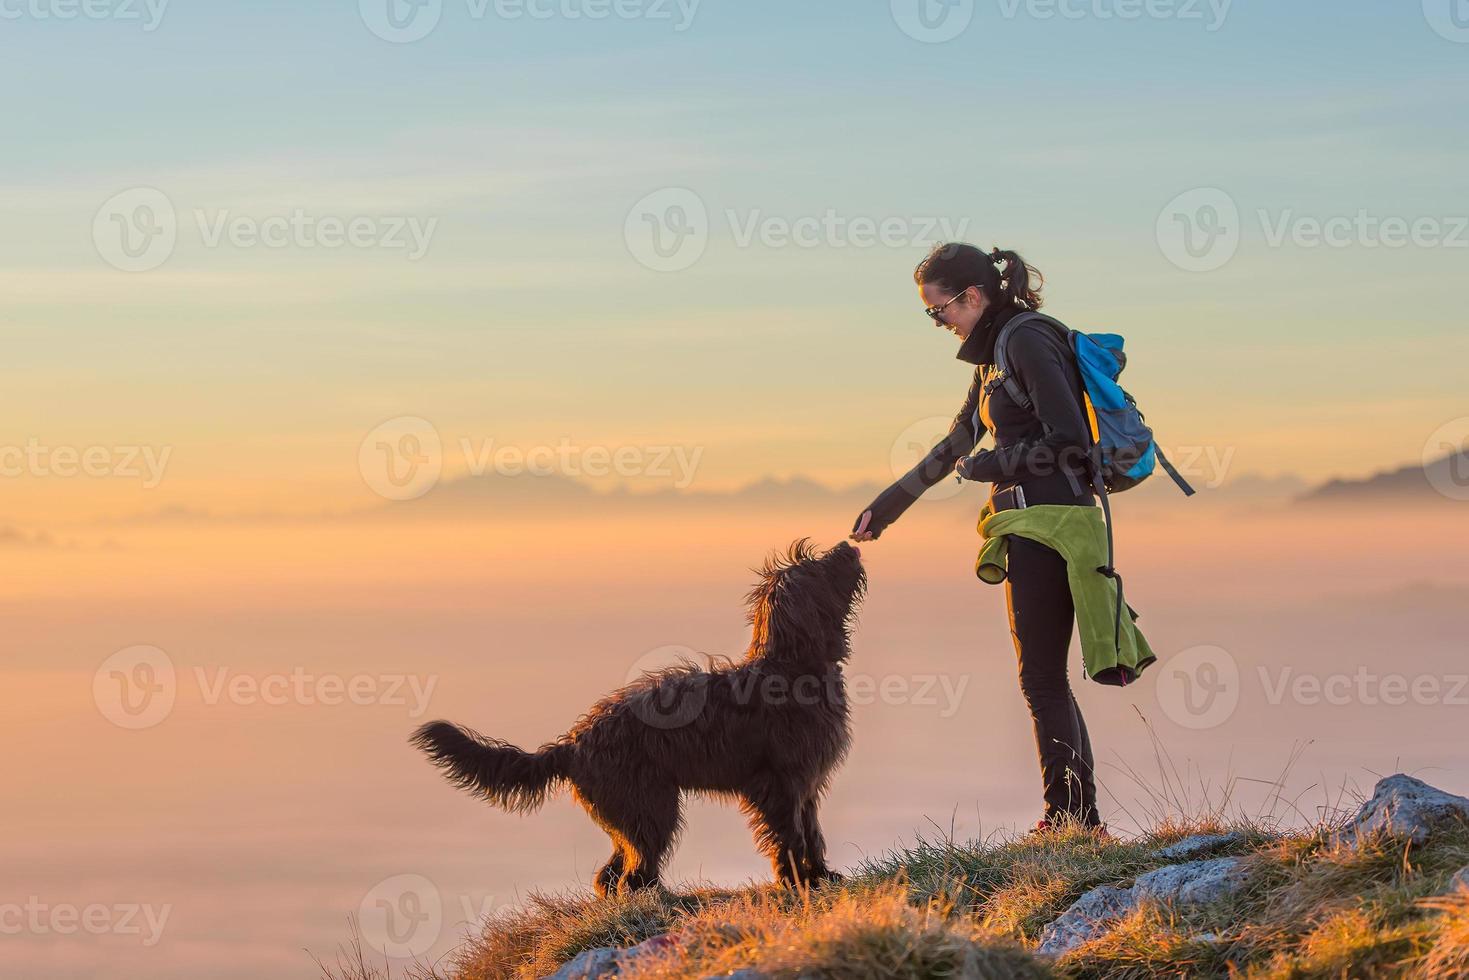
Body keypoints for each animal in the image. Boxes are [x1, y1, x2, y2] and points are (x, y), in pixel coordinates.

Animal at [408, 540, 863, 899]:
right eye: (817, 565)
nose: (848, 546)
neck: (789, 669)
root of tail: (572, 743)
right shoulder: (779, 784)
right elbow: (790, 835)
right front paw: (799, 882)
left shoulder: (807, 782)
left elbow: (812, 831)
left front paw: (822, 876)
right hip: (651, 805)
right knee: (632, 872)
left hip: (631, 810)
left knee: (611, 874)